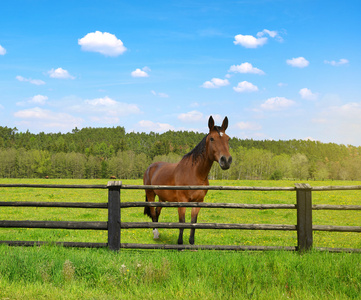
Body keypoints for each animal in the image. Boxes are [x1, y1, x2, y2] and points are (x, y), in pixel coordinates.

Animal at [142, 116, 232, 245]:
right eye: (212, 139)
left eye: (228, 139)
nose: (226, 160)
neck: (194, 174)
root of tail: (150, 167)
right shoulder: (182, 202)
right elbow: (182, 222)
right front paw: (180, 243)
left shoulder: (198, 202)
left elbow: (193, 222)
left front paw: (191, 243)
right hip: (150, 194)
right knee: (153, 212)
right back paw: (155, 234)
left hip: (162, 197)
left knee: (157, 212)